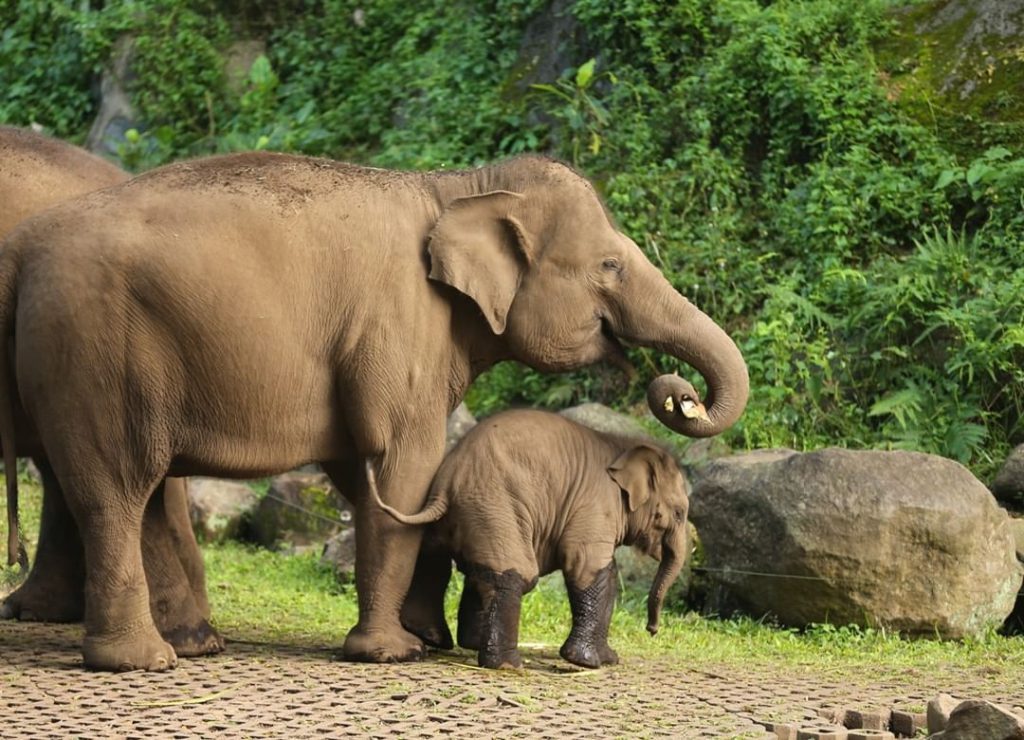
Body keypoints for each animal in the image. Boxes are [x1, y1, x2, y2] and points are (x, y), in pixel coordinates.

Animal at [370, 403, 704, 667]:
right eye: (679, 513)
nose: (652, 630)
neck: (621, 445)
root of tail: (443, 488)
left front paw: (607, 659)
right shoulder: (595, 505)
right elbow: (589, 565)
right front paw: (592, 663)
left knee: (445, 560)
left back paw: (452, 640)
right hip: (495, 508)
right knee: (516, 572)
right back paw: (507, 665)